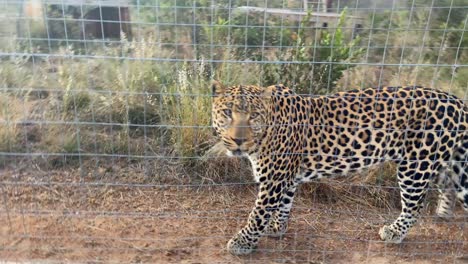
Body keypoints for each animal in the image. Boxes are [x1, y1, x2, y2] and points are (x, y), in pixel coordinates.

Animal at [212, 81, 468, 256]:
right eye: (227, 113)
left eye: (253, 116)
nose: (238, 141)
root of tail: (457, 101)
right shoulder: (287, 176)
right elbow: (284, 204)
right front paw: (277, 228)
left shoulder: (275, 180)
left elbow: (258, 213)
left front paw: (242, 243)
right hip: (446, 161)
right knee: (449, 186)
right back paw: (443, 213)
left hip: (416, 164)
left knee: (415, 206)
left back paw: (394, 232)